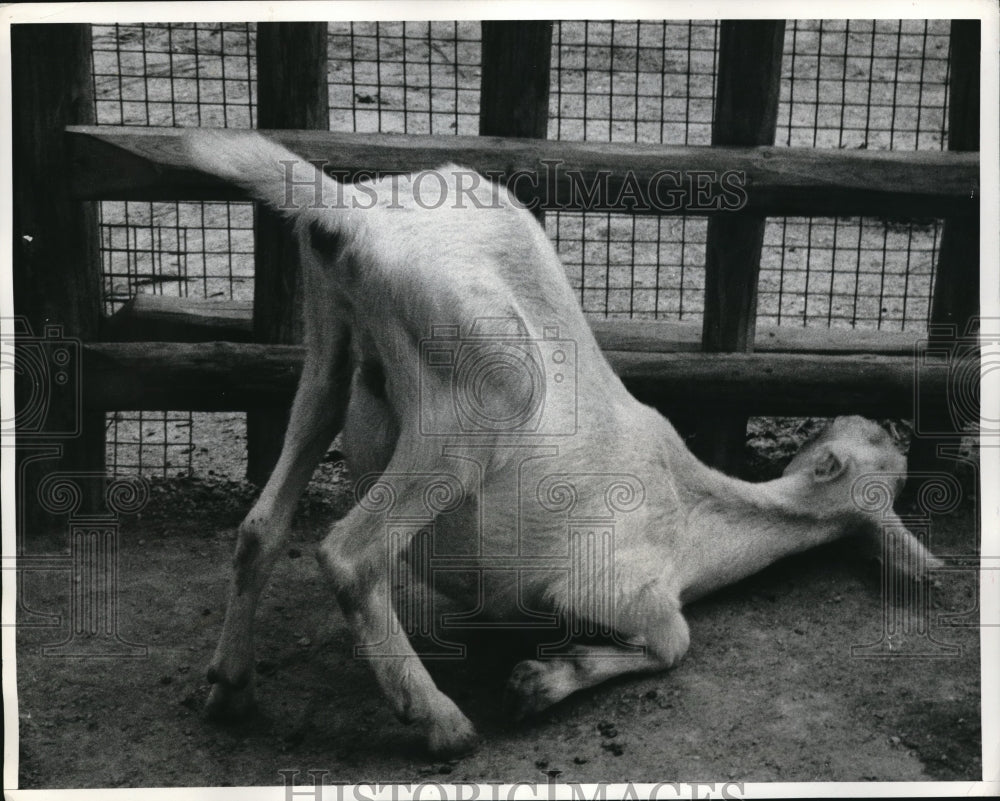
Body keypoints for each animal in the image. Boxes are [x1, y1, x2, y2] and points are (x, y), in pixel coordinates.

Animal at [185, 130, 941, 757]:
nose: (896, 425)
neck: (697, 526)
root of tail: (348, 210)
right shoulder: (615, 585)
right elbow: (675, 642)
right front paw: (536, 682)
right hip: (479, 394)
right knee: (350, 553)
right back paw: (442, 722)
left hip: (325, 352)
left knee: (263, 520)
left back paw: (230, 688)